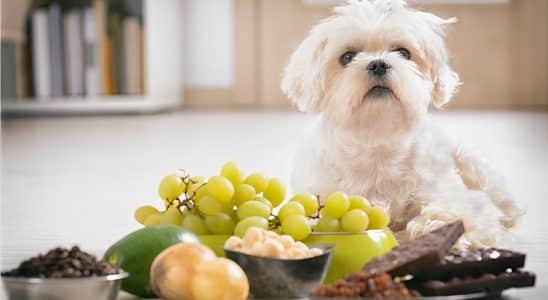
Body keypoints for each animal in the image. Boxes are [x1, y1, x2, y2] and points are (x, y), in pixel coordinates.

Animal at [282, 0, 524, 248]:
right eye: (347, 57)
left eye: (403, 52)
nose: (378, 64)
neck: (377, 139)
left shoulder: (453, 195)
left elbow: (459, 212)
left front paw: (436, 226)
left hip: (472, 164)